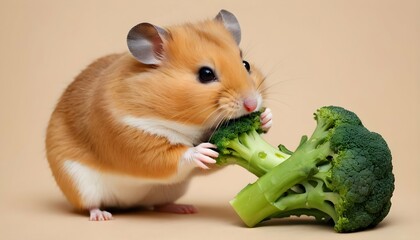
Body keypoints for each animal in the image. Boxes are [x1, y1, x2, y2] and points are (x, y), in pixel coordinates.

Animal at [45, 10, 272, 221]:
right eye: (206, 74)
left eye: (246, 64)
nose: (252, 105)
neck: (190, 125)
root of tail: (128, 205)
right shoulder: (132, 141)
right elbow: (175, 156)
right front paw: (202, 151)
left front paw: (266, 118)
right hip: (80, 184)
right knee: (90, 206)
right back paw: (102, 216)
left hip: (171, 189)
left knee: (158, 205)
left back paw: (185, 208)